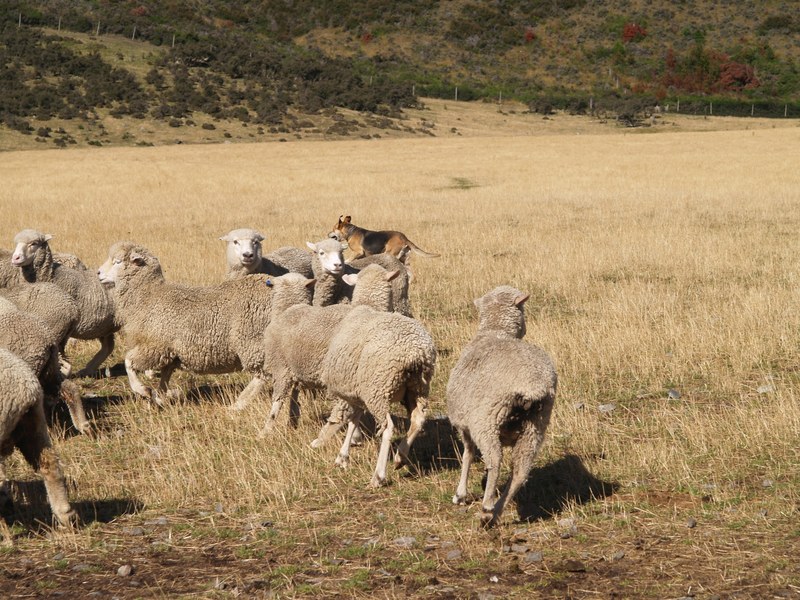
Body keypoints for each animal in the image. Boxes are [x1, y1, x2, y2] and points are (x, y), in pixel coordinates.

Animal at [10, 230, 117, 377]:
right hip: (105, 326)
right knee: (108, 346)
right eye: (16, 243)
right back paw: (87, 369)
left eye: (34, 243)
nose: (15, 258)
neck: (53, 275)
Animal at [98, 241, 313, 407]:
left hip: (252, 342)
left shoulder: (154, 346)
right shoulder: (170, 352)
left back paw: (239, 404)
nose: (99, 273)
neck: (148, 294)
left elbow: (128, 362)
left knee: (262, 375)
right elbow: (164, 378)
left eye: (118, 262)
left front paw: (142, 390)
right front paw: (160, 398)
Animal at [320, 303, 437, 487]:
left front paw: (343, 455)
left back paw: (378, 477)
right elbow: (354, 420)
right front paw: (343, 456)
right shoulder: (359, 393)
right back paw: (400, 456)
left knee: (388, 428)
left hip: (378, 390)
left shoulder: (356, 394)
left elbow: (351, 420)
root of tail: (415, 353)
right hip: (418, 388)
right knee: (418, 419)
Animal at [446, 286, 557, 528]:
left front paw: (460, 493)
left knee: (495, 461)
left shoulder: (465, 424)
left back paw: (488, 506)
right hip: (535, 426)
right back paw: (495, 512)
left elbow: (467, 454)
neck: (495, 332)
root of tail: (532, 385)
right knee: (521, 472)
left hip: (486, 421)